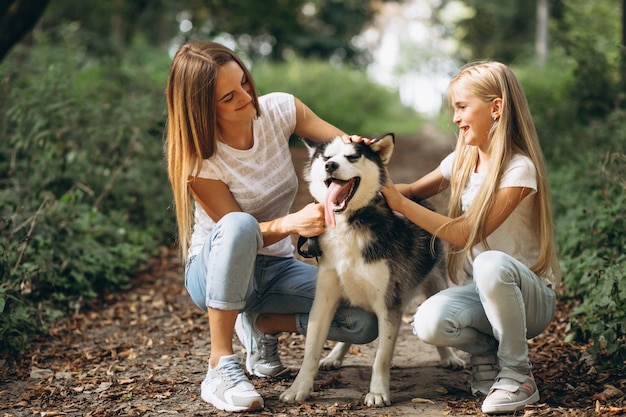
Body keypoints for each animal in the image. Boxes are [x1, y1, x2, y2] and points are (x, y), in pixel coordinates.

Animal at [280, 134, 464, 406]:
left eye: (353, 156)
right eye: (326, 157)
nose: (330, 166)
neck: (349, 224)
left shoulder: (389, 303)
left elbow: (381, 357)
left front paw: (377, 392)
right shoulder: (324, 299)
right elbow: (311, 350)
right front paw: (298, 388)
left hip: (435, 284)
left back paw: (449, 357)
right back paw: (334, 356)